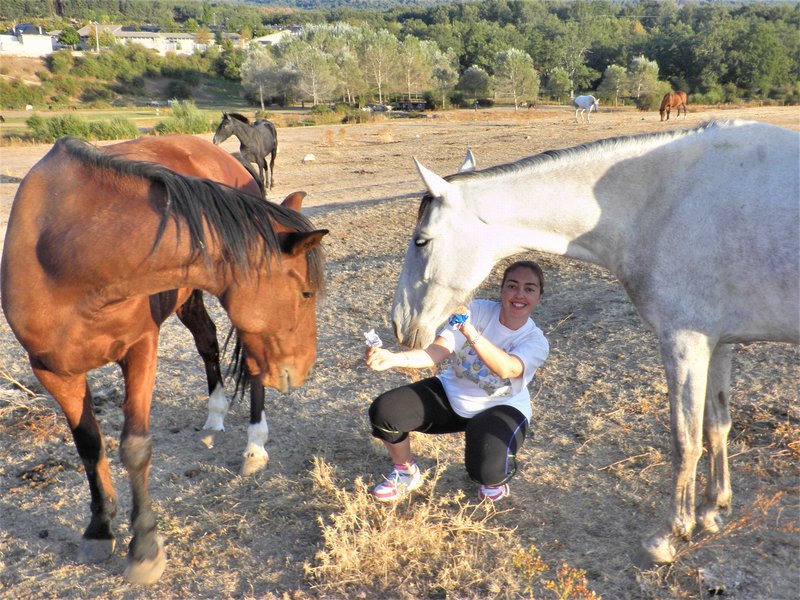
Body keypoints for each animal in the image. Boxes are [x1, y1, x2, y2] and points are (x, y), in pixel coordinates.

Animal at [0, 135, 326, 580]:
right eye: (305, 293)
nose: (304, 369)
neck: (66, 257)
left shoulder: (141, 348)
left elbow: (135, 447)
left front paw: (145, 547)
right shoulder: (52, 371)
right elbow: (90, 447)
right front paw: (100, 529)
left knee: (252, 369)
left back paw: (254, 447)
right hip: (188, 297)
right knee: (208, 342)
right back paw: (215, 415)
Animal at [392, 120, 800, 568]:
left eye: (421, 240)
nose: (399, 323)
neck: (661, 205)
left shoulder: (684, 341)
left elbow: (685, 439)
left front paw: (669, 534)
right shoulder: (719, 341)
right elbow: (716, 427)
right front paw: (713, 510)